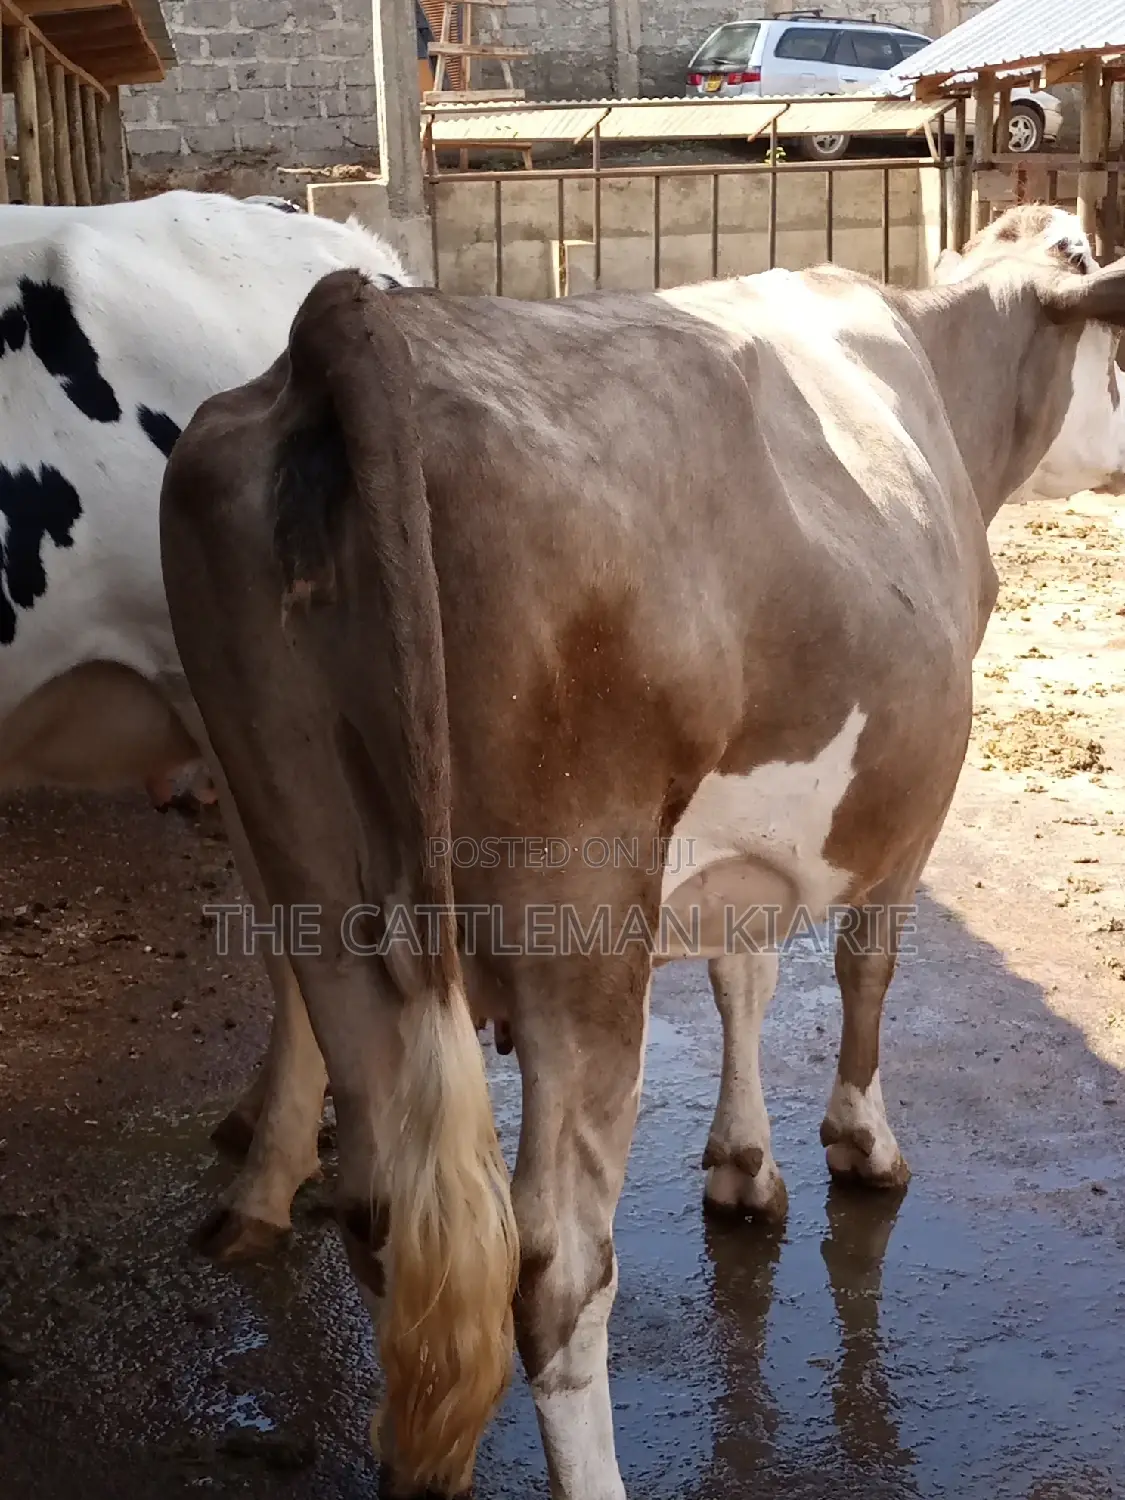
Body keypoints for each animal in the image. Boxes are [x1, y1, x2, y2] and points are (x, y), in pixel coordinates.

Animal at [157, 202, 1125, 1498]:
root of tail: (350, 325)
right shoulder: (910, 805)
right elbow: (865, 967)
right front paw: (859, 1144)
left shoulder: (733, 847)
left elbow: (743, 973)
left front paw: (742, 1165)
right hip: (580, 925)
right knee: (557, 1272)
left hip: (318, 889)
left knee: (389, 1223)